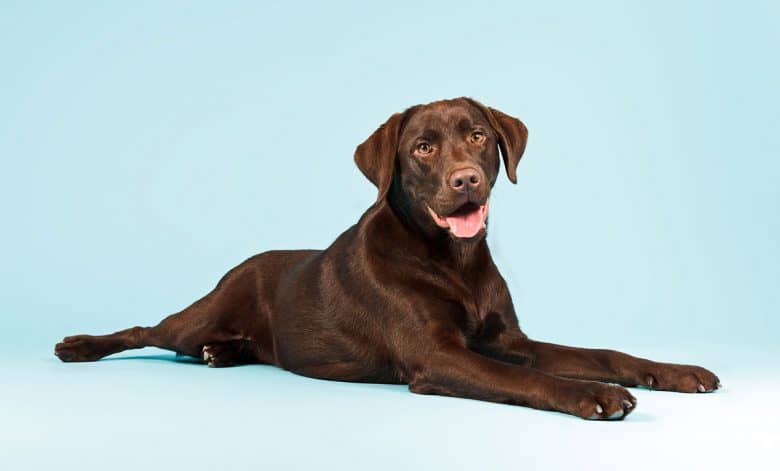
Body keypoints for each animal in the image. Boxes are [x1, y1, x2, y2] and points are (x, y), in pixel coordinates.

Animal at [54, 97, 720, 420]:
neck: (454, 261)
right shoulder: (439, 358)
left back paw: (227, 354)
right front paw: (593, 396)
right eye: (423, 148)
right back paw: (81, 344)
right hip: (199, 314)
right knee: (147, 330)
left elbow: (603, 353)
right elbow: (529, 379)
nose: (466, 180)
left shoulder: (509, 339)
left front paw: (675, 372)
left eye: (478, 135)